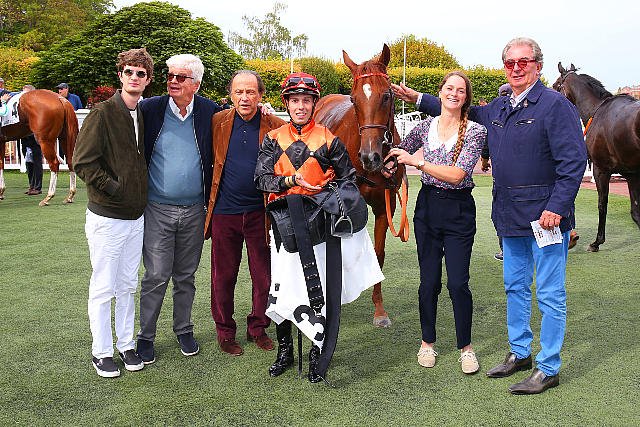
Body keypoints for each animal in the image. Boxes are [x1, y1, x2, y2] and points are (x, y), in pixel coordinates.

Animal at [314, 44, 409, 327]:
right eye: (354, 99)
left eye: (387, 96)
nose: (370, 157)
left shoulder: (384, 207)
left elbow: (378, 254)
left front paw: (379, 310)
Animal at [553, 62, 640, 251]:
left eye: (556, 86)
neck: (597, 110)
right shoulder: (632, 175)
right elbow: (636, 212)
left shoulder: (601, 170)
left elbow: (602, 204)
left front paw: (597, 241)